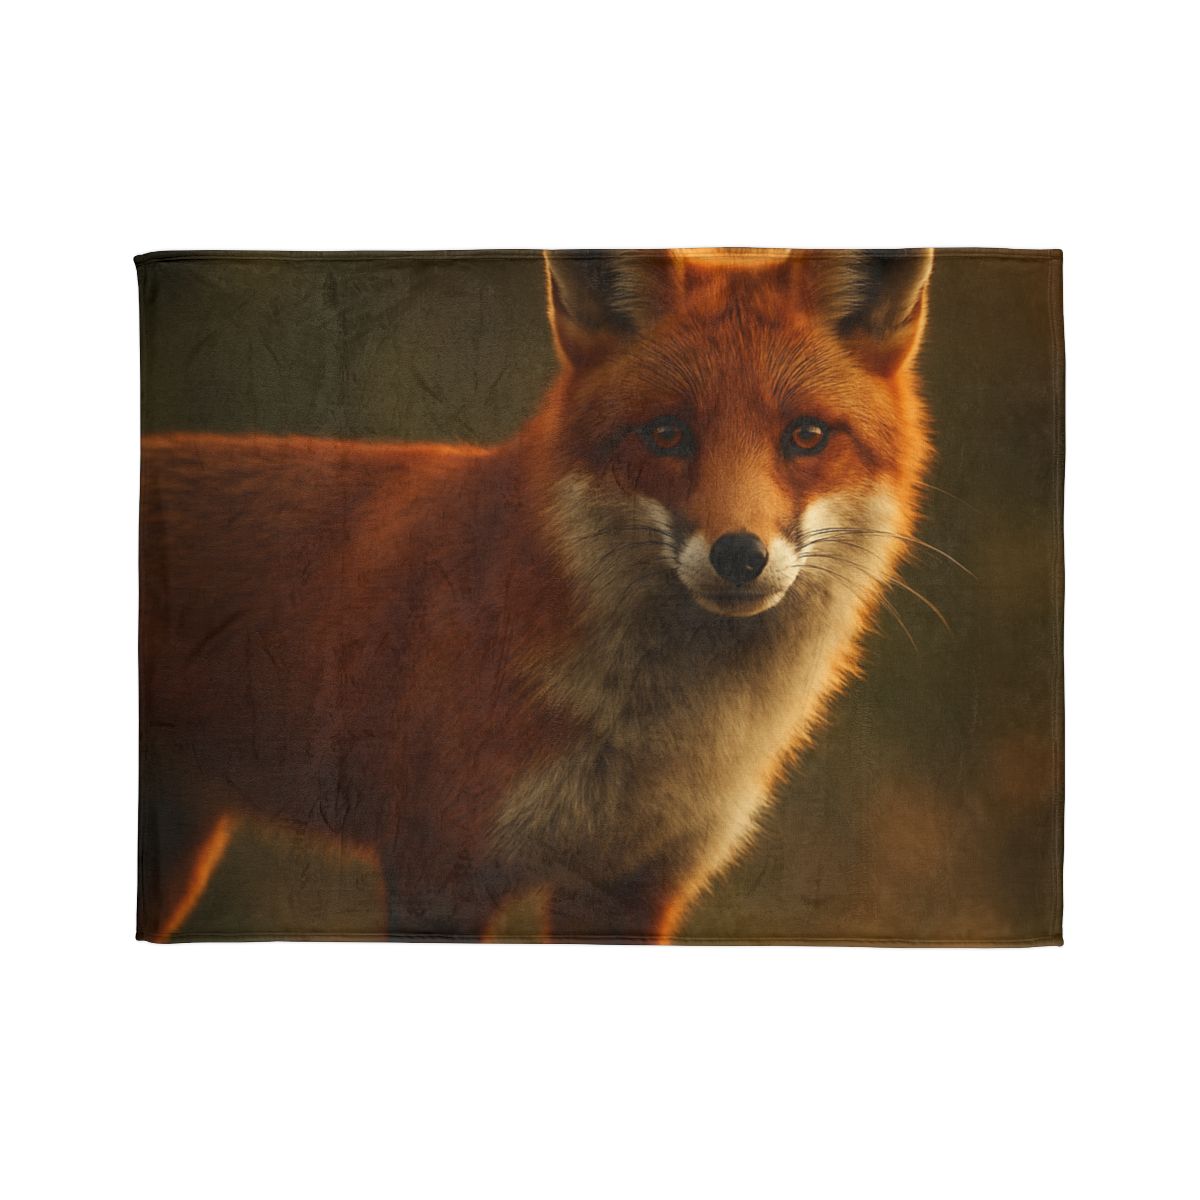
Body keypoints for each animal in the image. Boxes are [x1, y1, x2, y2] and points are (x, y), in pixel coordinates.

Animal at [139, 247, 934, 943]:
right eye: (667, 434)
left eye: (806, 436)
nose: (739, 555)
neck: (654, 736)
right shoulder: (437, 872)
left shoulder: (627, 889)